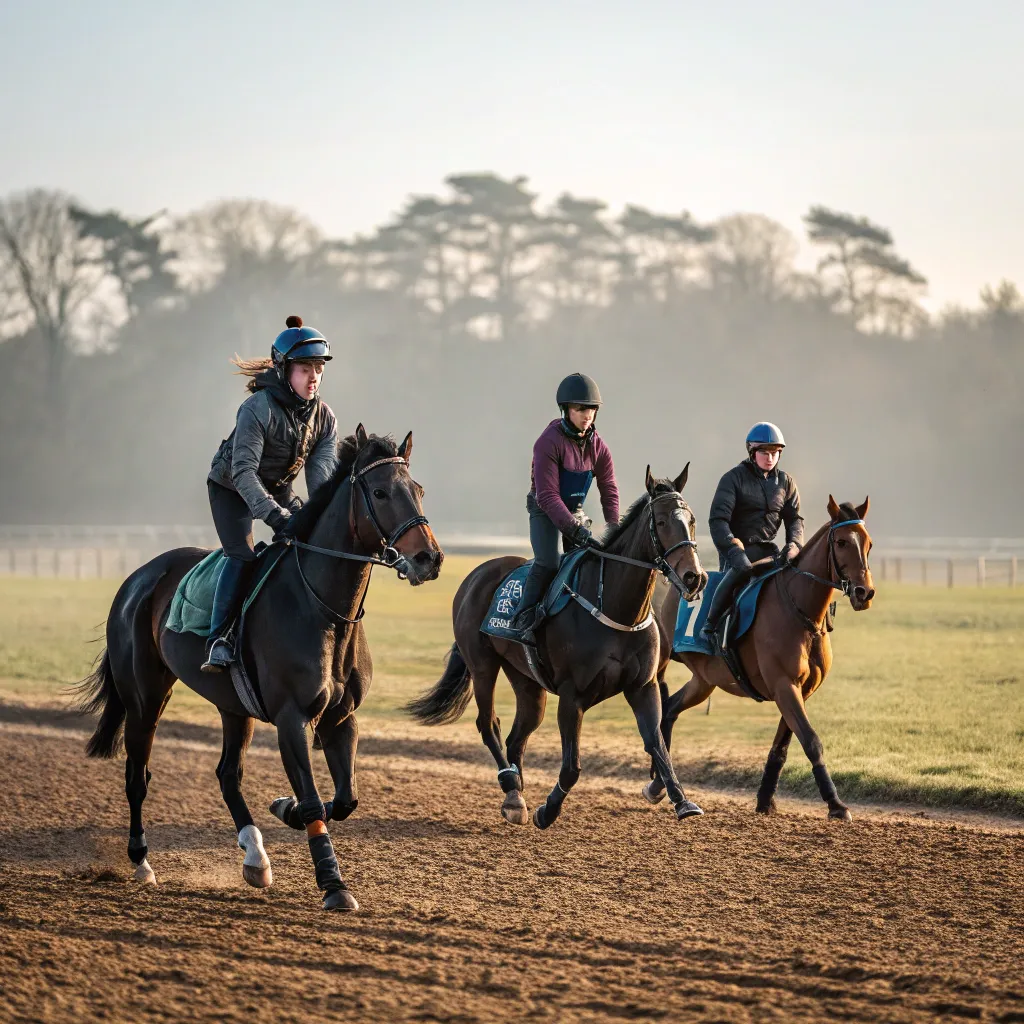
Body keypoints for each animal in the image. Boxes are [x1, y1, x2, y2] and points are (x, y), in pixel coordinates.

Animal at [75, 428, 444, 909]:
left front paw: (285, 809)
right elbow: (313, 800)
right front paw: (334, 884)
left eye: (417, 490)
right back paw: (141, 861)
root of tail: (137, 578)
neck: (324, 609)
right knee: (137, 776)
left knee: (227, 775)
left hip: (233, 706)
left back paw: (255, 856)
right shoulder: (292, 718)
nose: (429, 559)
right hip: (145, 698)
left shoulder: (340, 716)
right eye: (380, 492)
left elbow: (345, 798)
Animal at [403, 468, 708, 827]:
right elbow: (572, 767)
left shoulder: (643, 686)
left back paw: (516, 796)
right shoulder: (572, 696)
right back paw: (511, 789)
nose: (694, 577)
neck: (615, 608)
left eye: (692, 520)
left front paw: (680, 799)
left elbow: (657, 745)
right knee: (488, 724)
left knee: (517, 736)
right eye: (660, 522)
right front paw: (547, 811)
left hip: (527, 681)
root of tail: (477, 575)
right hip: (482, 664)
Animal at [647, 495, 872, 823]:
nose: (864, 592)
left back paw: (658, 784)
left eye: (868, 543)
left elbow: (782, 747)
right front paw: (836, 804)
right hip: (661, 664)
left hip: (704, 680)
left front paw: (765, 800)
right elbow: (811, 741)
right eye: (842, 542)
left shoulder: (800, 690)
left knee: (670, 709)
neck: (801, 613)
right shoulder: (784, 685)